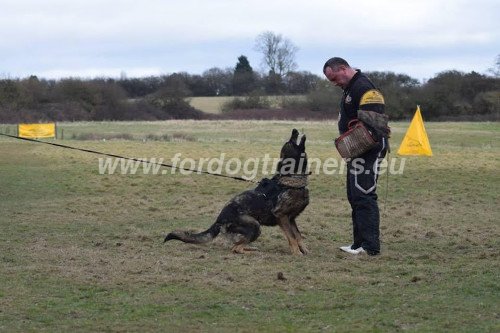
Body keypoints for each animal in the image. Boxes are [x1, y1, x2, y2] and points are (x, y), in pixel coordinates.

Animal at [164, 128, 308, 253]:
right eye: (290, 142)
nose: (295, 129)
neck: (291, 179)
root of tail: (219, 220)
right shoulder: (282, 217)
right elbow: (292, 237)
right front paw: (297, 253)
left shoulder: (291, 219)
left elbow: (298, 235)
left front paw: (305, 251)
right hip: (255, 225)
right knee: (236, 248)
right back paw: (252, 252)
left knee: (237, 246)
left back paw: (252, 249)